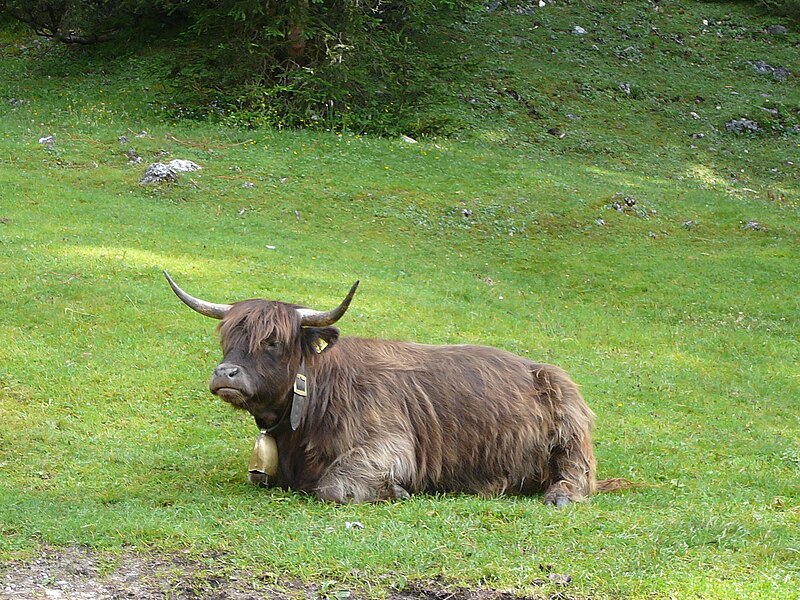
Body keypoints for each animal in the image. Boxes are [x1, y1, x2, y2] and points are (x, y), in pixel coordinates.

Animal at [164, 274, 624, 506]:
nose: (226, 374)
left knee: (576, 476)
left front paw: (397, 491)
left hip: (569, 431)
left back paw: (559, 496)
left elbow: (333, 486)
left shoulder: (390, 443)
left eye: (273, 341)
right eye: (227, 336)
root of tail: (541, 369)